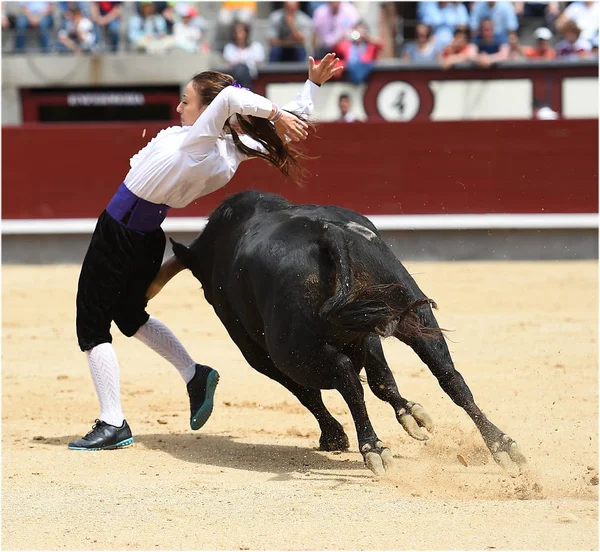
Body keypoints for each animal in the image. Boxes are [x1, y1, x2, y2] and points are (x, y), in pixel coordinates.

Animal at [164, 190, 524, 474]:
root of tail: (325, 233)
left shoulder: (258, 354)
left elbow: (310, 393)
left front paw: (334, 436)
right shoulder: (366, 329)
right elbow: (382, 380)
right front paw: (411, 414)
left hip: (295, 352)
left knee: (346, 383)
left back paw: (374, 448)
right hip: (412, 309)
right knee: (450, 377)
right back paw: (503, 446)